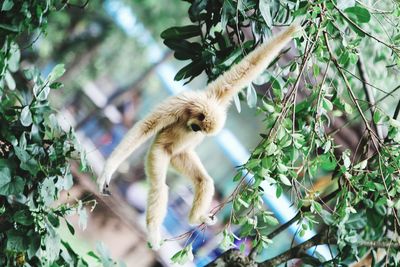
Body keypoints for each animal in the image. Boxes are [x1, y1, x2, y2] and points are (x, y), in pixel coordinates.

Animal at [97, 24, 300, 250]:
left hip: (180, 156)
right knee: (160, 187)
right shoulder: (180, 103)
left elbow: (249, 66)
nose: (196, 130)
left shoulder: (219, 94)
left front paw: (293, 30)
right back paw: (154, 233)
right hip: (160, 150)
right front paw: (107, 170)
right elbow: (146, 127)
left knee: (204, 181)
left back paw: (195, 218)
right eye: (198, 127)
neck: (193, 108)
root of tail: (172, 155)